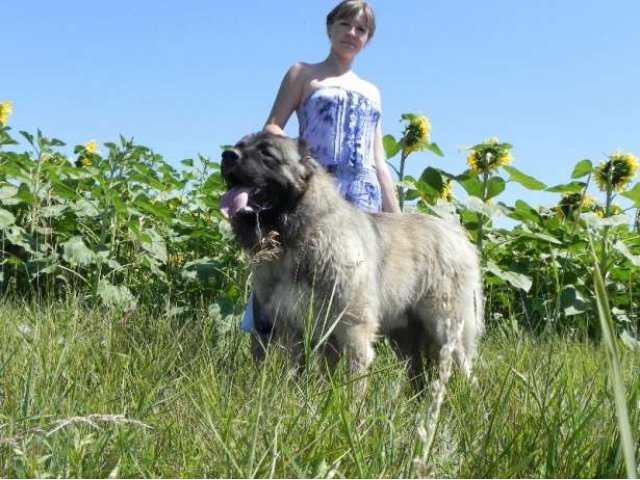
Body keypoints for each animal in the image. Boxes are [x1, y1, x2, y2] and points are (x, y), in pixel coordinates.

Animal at [218, 131, 482, 382]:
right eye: (240, 146)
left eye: (266, 153)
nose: (228, 155)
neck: (299, 234)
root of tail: (458, 235)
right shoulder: (292, 328)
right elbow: (294, 372)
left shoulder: (353, 325)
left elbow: (353, 377)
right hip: (405, 338)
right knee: (417, 375)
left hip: (447, 327)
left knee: (466, 371)